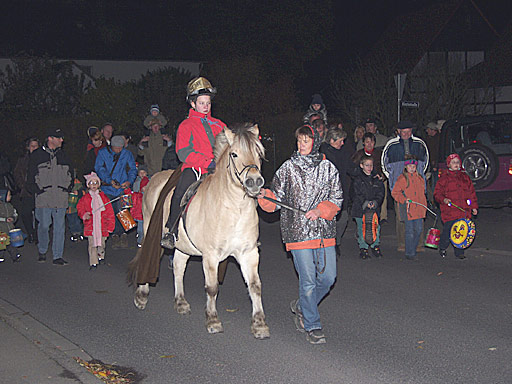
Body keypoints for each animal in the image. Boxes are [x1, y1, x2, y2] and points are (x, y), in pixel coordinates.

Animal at [129, 123, 272, 340]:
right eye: (234, 154)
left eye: (258, 153)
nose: (254, 182)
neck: (234, 208)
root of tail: (155, 178)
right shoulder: (211, 255)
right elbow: (212, 288)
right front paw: (213, 320)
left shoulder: (248, 253)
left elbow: (255, 286)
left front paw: (259, 324)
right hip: (148, 228)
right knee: (148, 255)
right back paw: (142, 296)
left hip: (183, 245)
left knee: (178, 267)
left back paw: (180, 302)